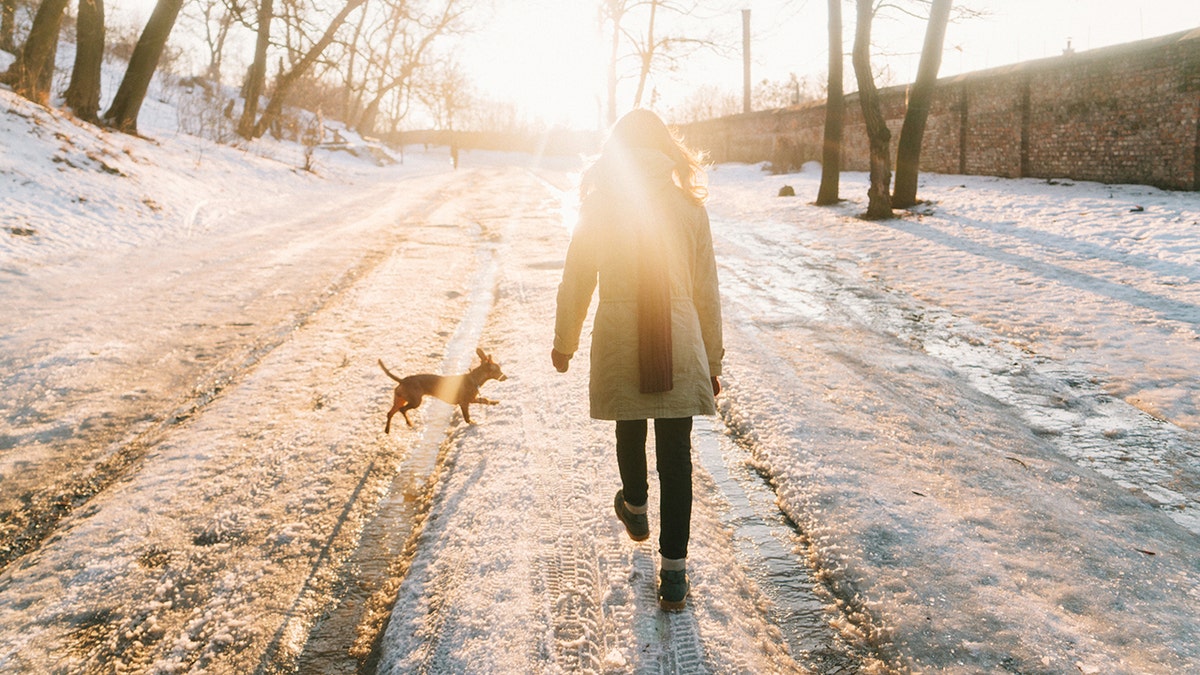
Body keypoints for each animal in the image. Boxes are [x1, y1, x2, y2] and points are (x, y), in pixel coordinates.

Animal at [376, 345, 504, 429]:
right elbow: (467, 417)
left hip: (400, 399)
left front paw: (495, 402)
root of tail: (403, 380)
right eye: (498, 370)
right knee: (402, 410)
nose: (506, 377)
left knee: (390, 413)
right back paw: (409, 423)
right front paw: (472, 423)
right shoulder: (464, 403)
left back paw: (387, 430)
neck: (473, 379)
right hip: (415, 401)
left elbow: (486, 400)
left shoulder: (472, 399)